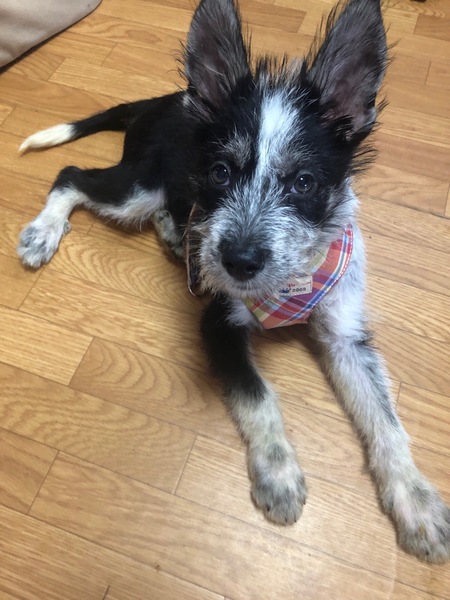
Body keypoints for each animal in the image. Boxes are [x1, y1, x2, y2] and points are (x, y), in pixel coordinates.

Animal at [17, 0, 449, 562]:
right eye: (221, 172)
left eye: (304, 182)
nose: (237, 261)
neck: (289, 285)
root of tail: (165, 101)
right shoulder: (218, 323)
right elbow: (258, 396)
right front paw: (279, 474)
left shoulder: (345, 333)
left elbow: (386, 418)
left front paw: (416, 499)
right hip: (139, 185)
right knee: (70, 175)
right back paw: (44, 232)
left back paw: (174, 236)